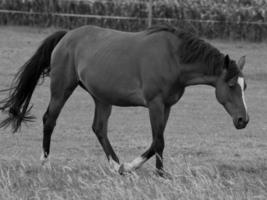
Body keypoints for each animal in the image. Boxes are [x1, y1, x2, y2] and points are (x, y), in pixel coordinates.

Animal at [0, 24, 249, 176]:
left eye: (245, 86)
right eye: (231, 85)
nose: (243, 120)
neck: (173, 57)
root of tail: (66, 36)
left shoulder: (166, 106)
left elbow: (157, 141)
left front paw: (139, 168)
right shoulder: (155, 104)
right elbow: (158, 141)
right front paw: (153, 173)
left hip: (101, 98)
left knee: (99, 128)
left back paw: (115, 166)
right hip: (62, 89)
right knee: (49, 120)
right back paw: (45, 163)